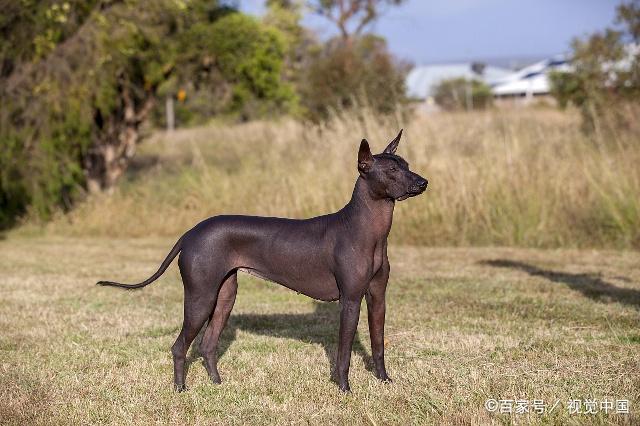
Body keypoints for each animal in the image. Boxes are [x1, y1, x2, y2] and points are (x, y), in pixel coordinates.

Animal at [99, 131, 430, 392]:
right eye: (391, 170)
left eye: (407, 165)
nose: (423, 182)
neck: (366, 230)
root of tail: (191, 232)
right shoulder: (349, 300)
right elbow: (344, 353)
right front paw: (345, 389)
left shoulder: (378, 298)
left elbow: (378, 343)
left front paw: (385, 381)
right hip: (201, 298)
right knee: (180, 346)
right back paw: (181, 389)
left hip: (224, 296)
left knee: (207, 345)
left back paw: (217, 384)